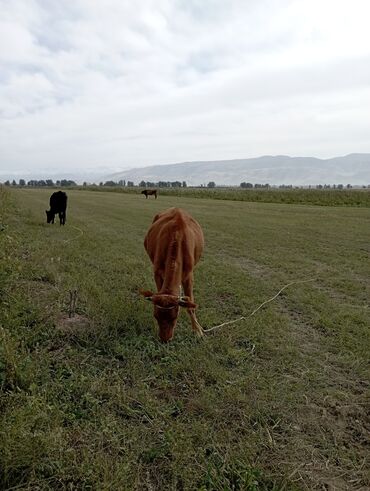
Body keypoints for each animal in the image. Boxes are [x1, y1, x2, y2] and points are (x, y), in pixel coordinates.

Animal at [142, 208, 205, 342]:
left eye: (174, 318)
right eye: (156, 316)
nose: (164, 340)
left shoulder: (189, 276)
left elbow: (190, 304)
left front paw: (197, 330)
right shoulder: (157, 272)